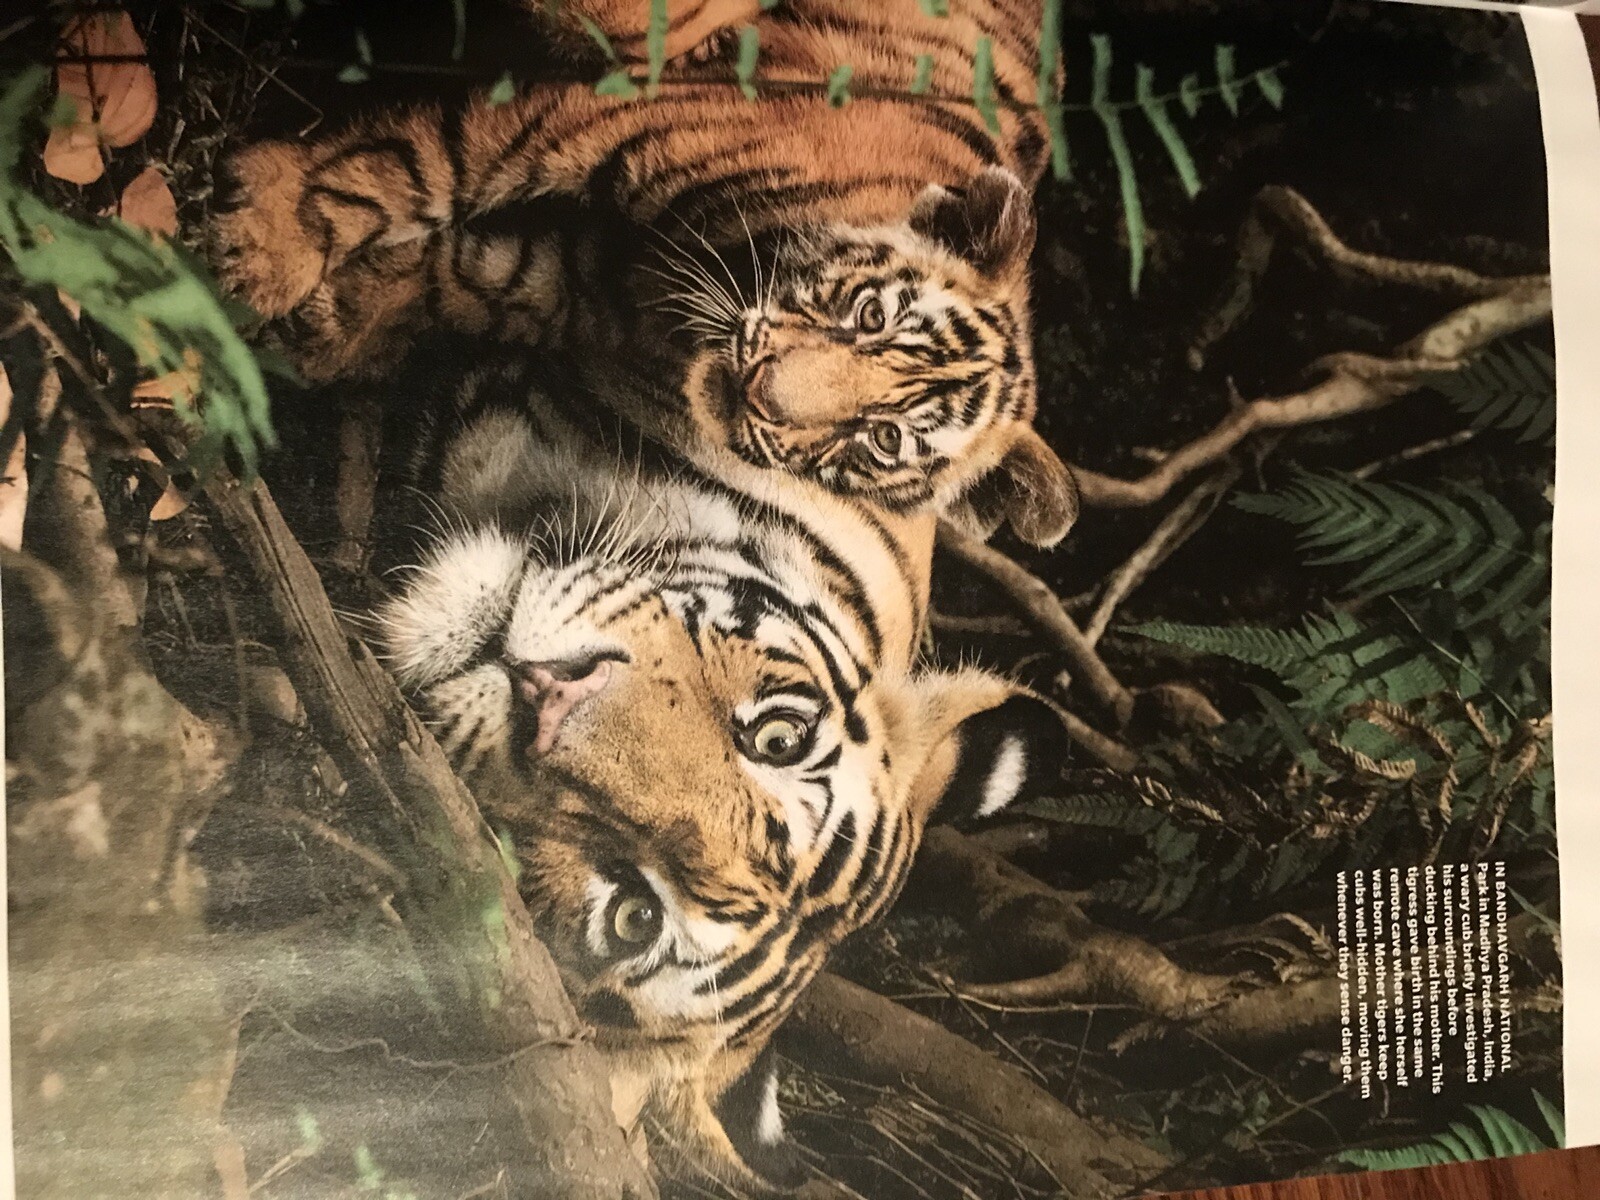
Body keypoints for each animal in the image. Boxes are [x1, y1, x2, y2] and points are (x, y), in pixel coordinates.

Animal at [214, 0, 1080, 547]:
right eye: (870, 315)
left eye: (885, 438)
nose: (762, 392)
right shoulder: (614, 112)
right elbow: (428, 165)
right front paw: (263, 249)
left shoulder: (573, 286)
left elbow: (465, 271)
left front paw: (323, 333)